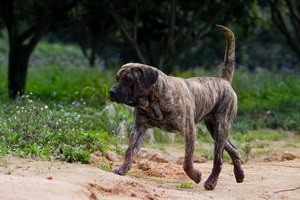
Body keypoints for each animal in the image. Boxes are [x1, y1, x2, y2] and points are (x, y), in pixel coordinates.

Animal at [109, 24, 245, 190]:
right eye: (117, 78)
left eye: (128, 79)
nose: (111, 92)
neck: (152, 102)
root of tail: (223, 80)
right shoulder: (139, 127)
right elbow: (129, 150)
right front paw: (122, 169)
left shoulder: (189, 130)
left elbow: (187, 162)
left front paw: (195, 175)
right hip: (214, 128)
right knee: (232, 149)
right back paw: (239, 174)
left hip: (221, 126)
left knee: (218, 158)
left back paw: (211, 181)